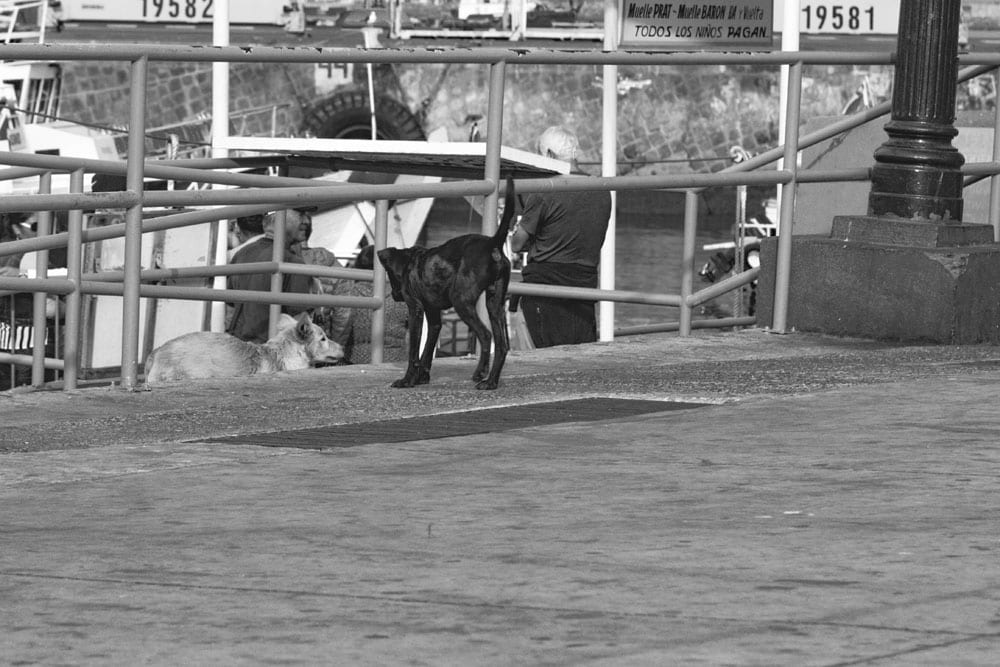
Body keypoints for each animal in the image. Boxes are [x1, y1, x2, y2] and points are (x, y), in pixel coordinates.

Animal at [376, 180, 516, 394]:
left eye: (391, 276)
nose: (394, 295)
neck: (409, 262)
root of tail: (493, 242)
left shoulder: (415, 309)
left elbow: (414, 352)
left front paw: (407, 380)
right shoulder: (433, 317)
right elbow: (427, 351)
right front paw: (422, 377)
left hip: (461, 301)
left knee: (485, 335)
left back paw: (482, 374)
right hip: (495, 304)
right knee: (501, 345)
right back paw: (491, 381)